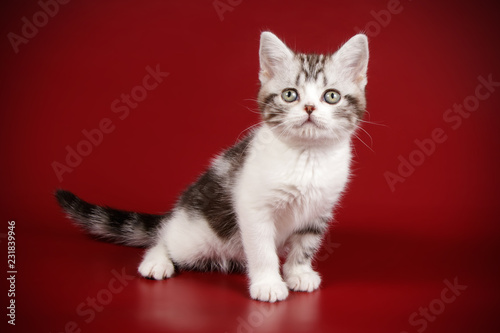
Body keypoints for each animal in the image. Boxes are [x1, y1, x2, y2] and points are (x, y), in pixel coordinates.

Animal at [55, 32, 368, 302]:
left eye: (331, 96)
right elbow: (262, 250)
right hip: (195, 238)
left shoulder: (319, 209)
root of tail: (178, 213)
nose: (309, 108)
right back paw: (156, 261)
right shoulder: (253, 209)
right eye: (290, 95)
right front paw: (268, 283)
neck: (307, 155)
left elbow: (306, 244)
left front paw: (298, 273)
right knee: (163, 237)